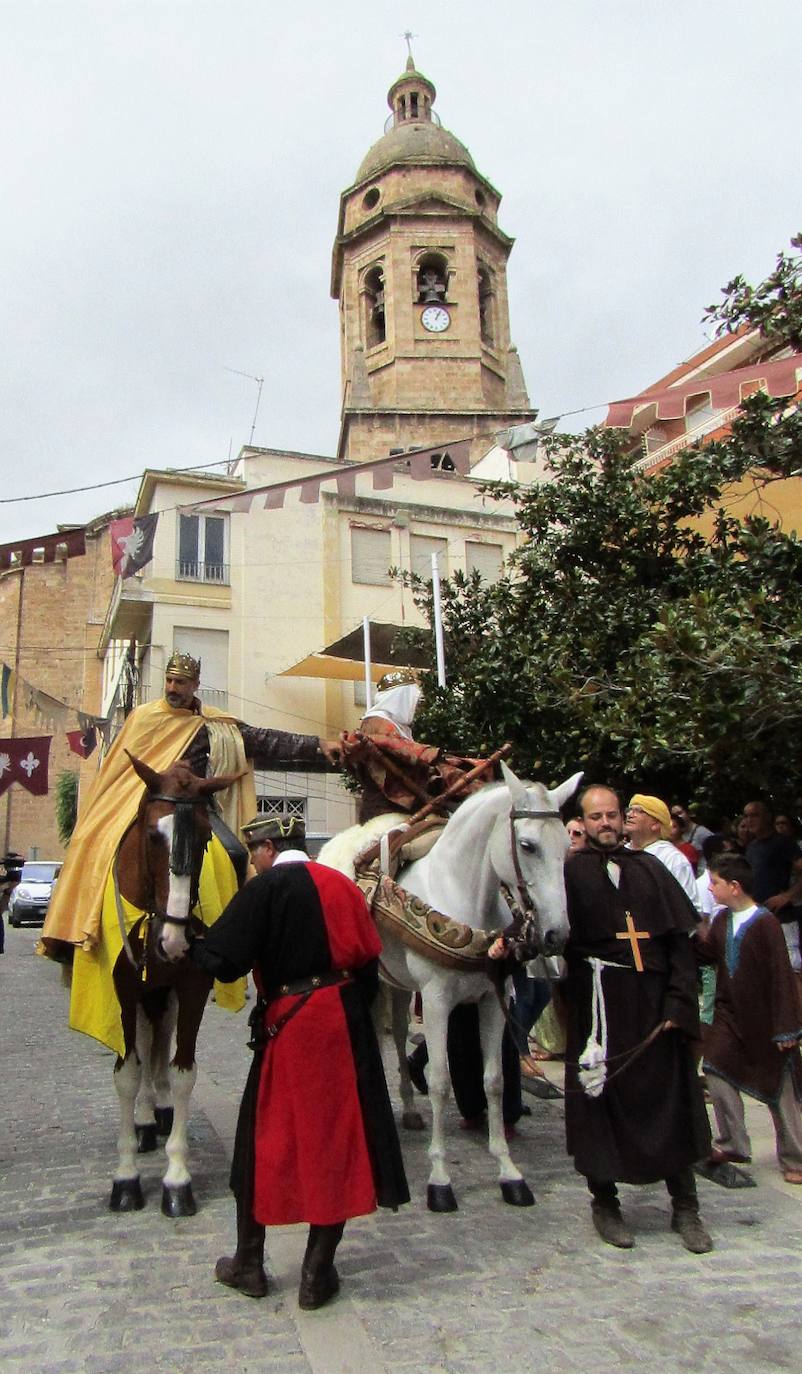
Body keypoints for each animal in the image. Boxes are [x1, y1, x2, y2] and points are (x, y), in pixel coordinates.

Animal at [107, 752, 243, 1214]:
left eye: (204, 839)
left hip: (162, 993)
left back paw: (158, 1112)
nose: (174, 941)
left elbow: (182, 1071)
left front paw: (177, 1180)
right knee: (146, 1047)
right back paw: (145, 1121)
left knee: (158, 1043)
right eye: (152, 835)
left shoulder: (192, 986)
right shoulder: (125, 989)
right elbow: (128, 1074)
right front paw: (126, 1176)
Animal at [315, 763, 579, 1214]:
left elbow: (493, 1080)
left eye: (565, 845)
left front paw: (509, 1172)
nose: (555, 935)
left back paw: (406, 1109)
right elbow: (440, 1081)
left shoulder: (492, 999)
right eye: (527, 846)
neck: (462, 893)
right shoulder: (437, 1002)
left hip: (395, 983)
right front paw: (440, 1180)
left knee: (397, 1033)